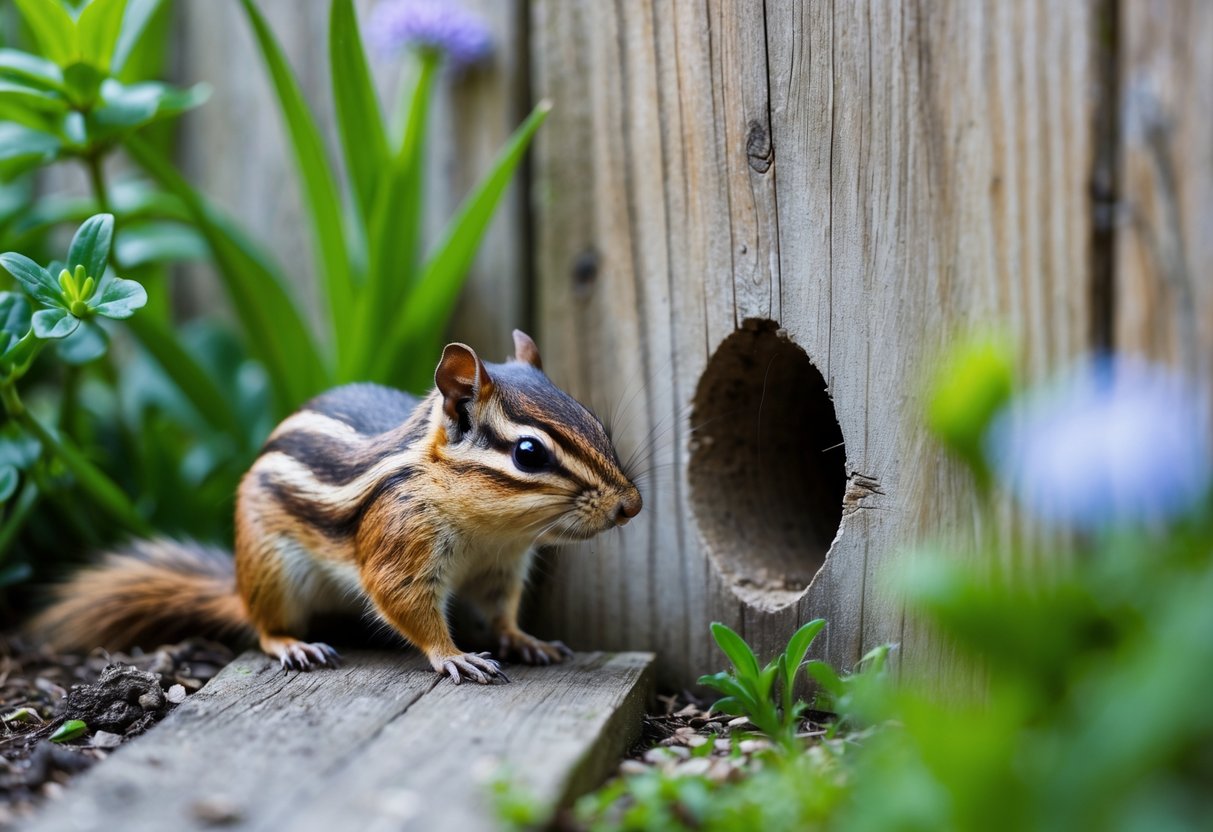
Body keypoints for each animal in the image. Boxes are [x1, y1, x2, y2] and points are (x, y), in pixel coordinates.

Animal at [32, 330, 642, 685]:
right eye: (529, 453)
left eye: (594, 420)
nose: (631, 505)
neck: (491, 530)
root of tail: (239, 584)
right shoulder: (399, 542)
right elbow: (406, 604)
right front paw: (454, 655)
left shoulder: (501, 567)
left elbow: (501, 612)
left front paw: (523, 639)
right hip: (273, 571)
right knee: (262, 628)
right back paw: (295, 645)